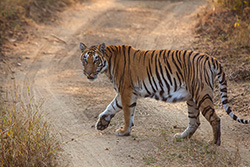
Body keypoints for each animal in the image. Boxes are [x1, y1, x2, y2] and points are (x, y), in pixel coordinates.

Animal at [79, 42, 249, 145]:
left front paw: (124, 131)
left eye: (95, 60)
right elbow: (112, 106)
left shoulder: (126, 90)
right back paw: (181, 137)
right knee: (195, 121)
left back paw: (214, 143)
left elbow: (127, 113)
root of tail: (210, 58)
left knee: (215, 118)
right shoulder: (126, 92)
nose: (88, 74)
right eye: (85, 60)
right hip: (192, 98)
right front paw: (102, 123)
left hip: (202, 94)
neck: (108, 62)